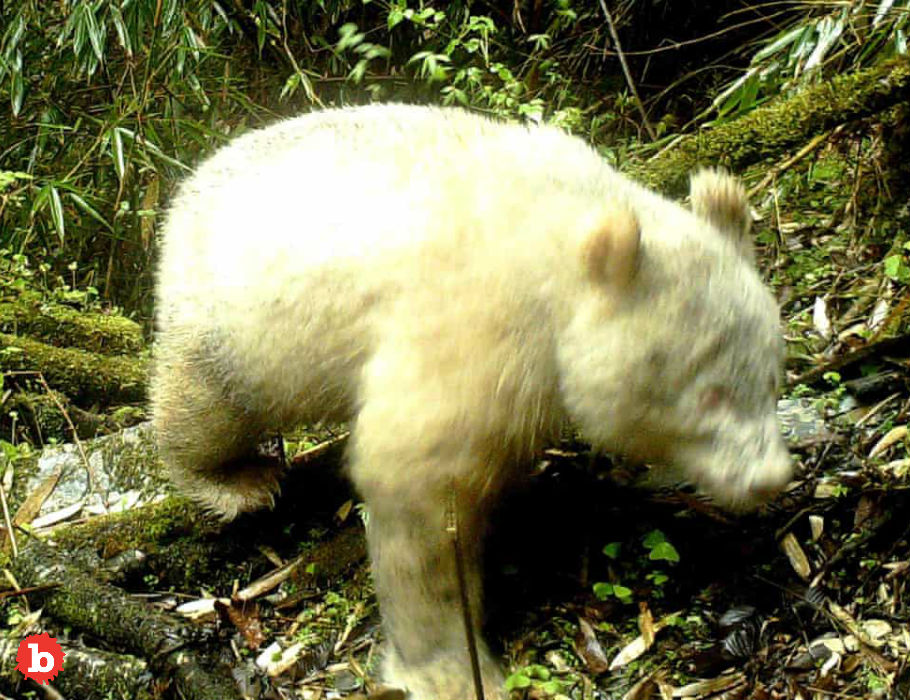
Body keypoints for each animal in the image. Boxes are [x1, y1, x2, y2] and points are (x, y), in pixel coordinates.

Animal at [150, 105, 792, 700]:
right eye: (710, 393)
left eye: (772, 376)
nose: (769, 477)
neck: (561, 242)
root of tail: (187, 187)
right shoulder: (476, 325)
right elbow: (417, 481)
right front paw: (448, 667)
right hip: (231, 319)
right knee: (205, 406)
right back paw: (235, 480)